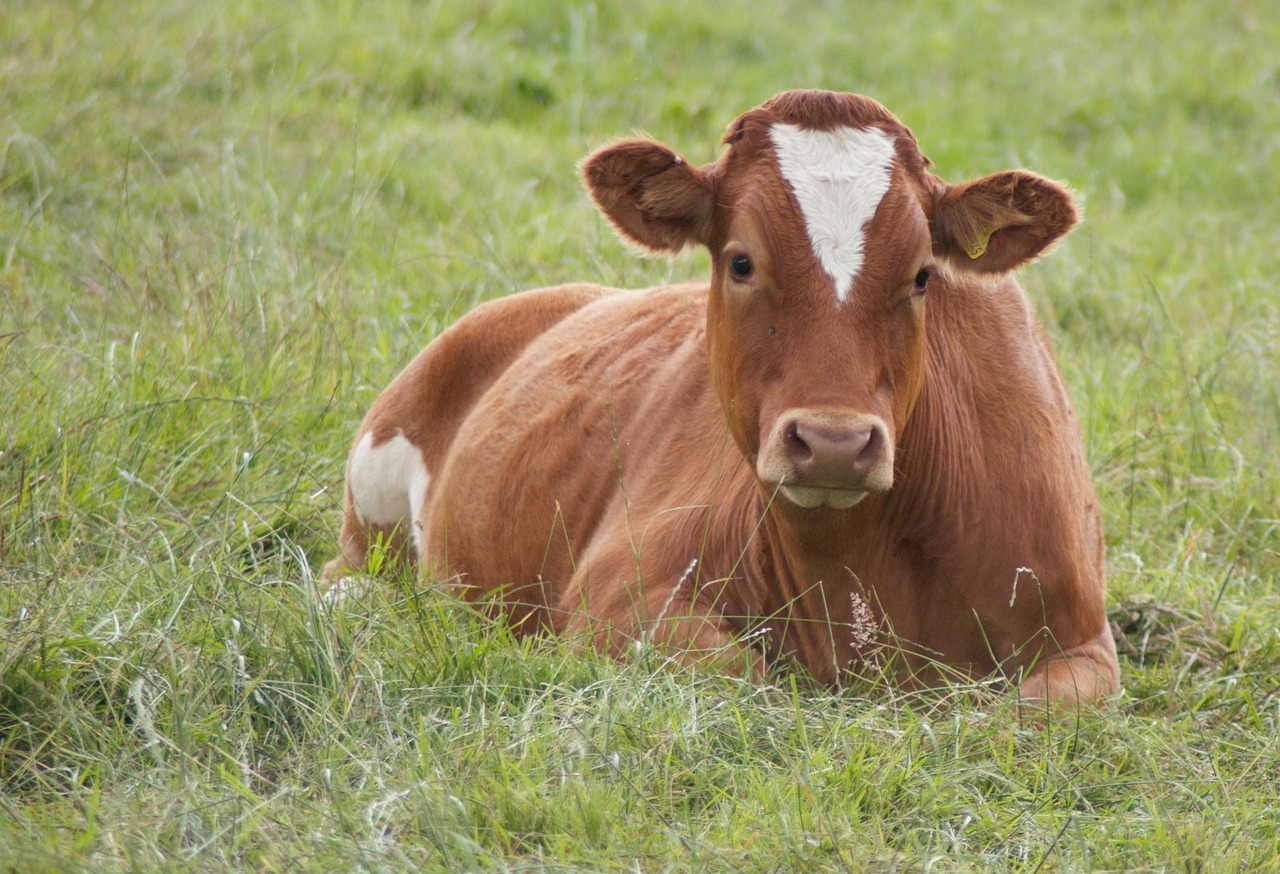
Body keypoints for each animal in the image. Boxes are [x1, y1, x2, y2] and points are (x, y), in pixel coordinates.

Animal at [327, 90, 1121, 706]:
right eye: (741, 261)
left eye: (923, 274)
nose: (834, 444)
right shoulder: (617, 596)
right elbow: (745, 673)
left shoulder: (1085, 640)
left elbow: (1024, 711)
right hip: (372, 501)